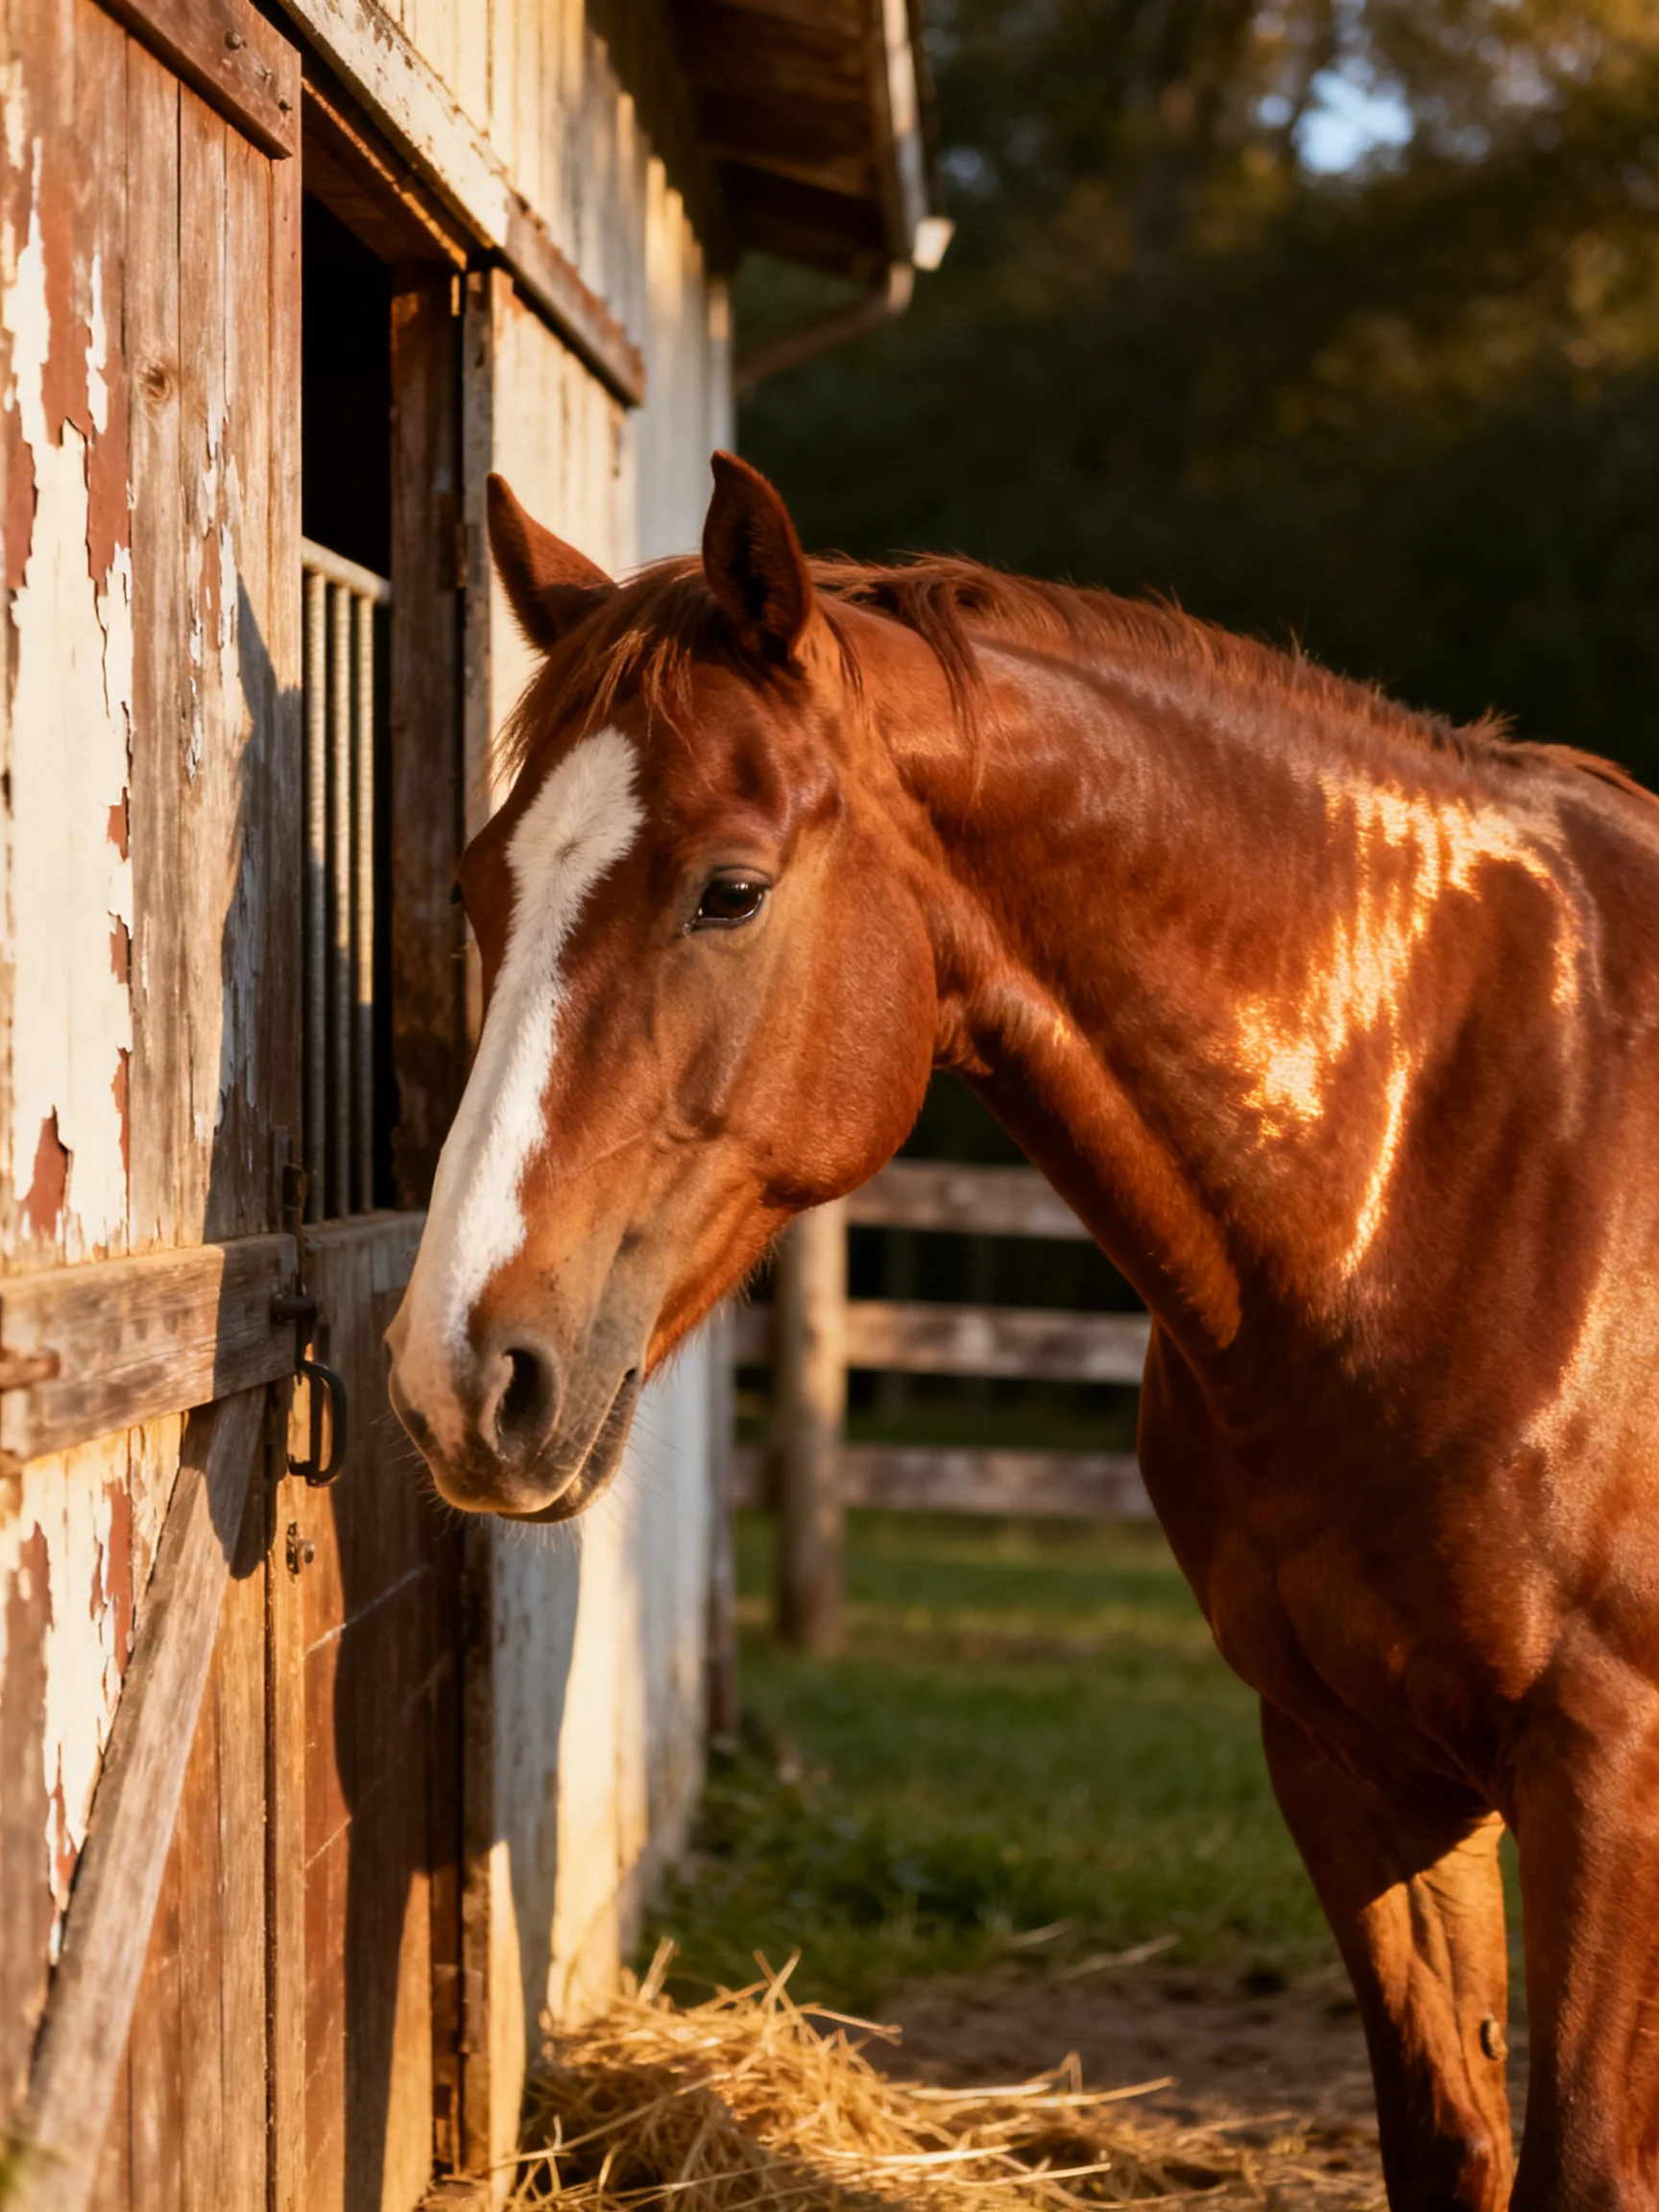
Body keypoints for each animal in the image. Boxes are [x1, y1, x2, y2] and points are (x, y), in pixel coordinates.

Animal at [385, 451, 1659, 2212]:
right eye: (476, 883)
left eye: (730, 888)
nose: (460, 1370)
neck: (1447, 1157)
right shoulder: (1351, 1764)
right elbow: (1450, 2139)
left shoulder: (1606, 1776)